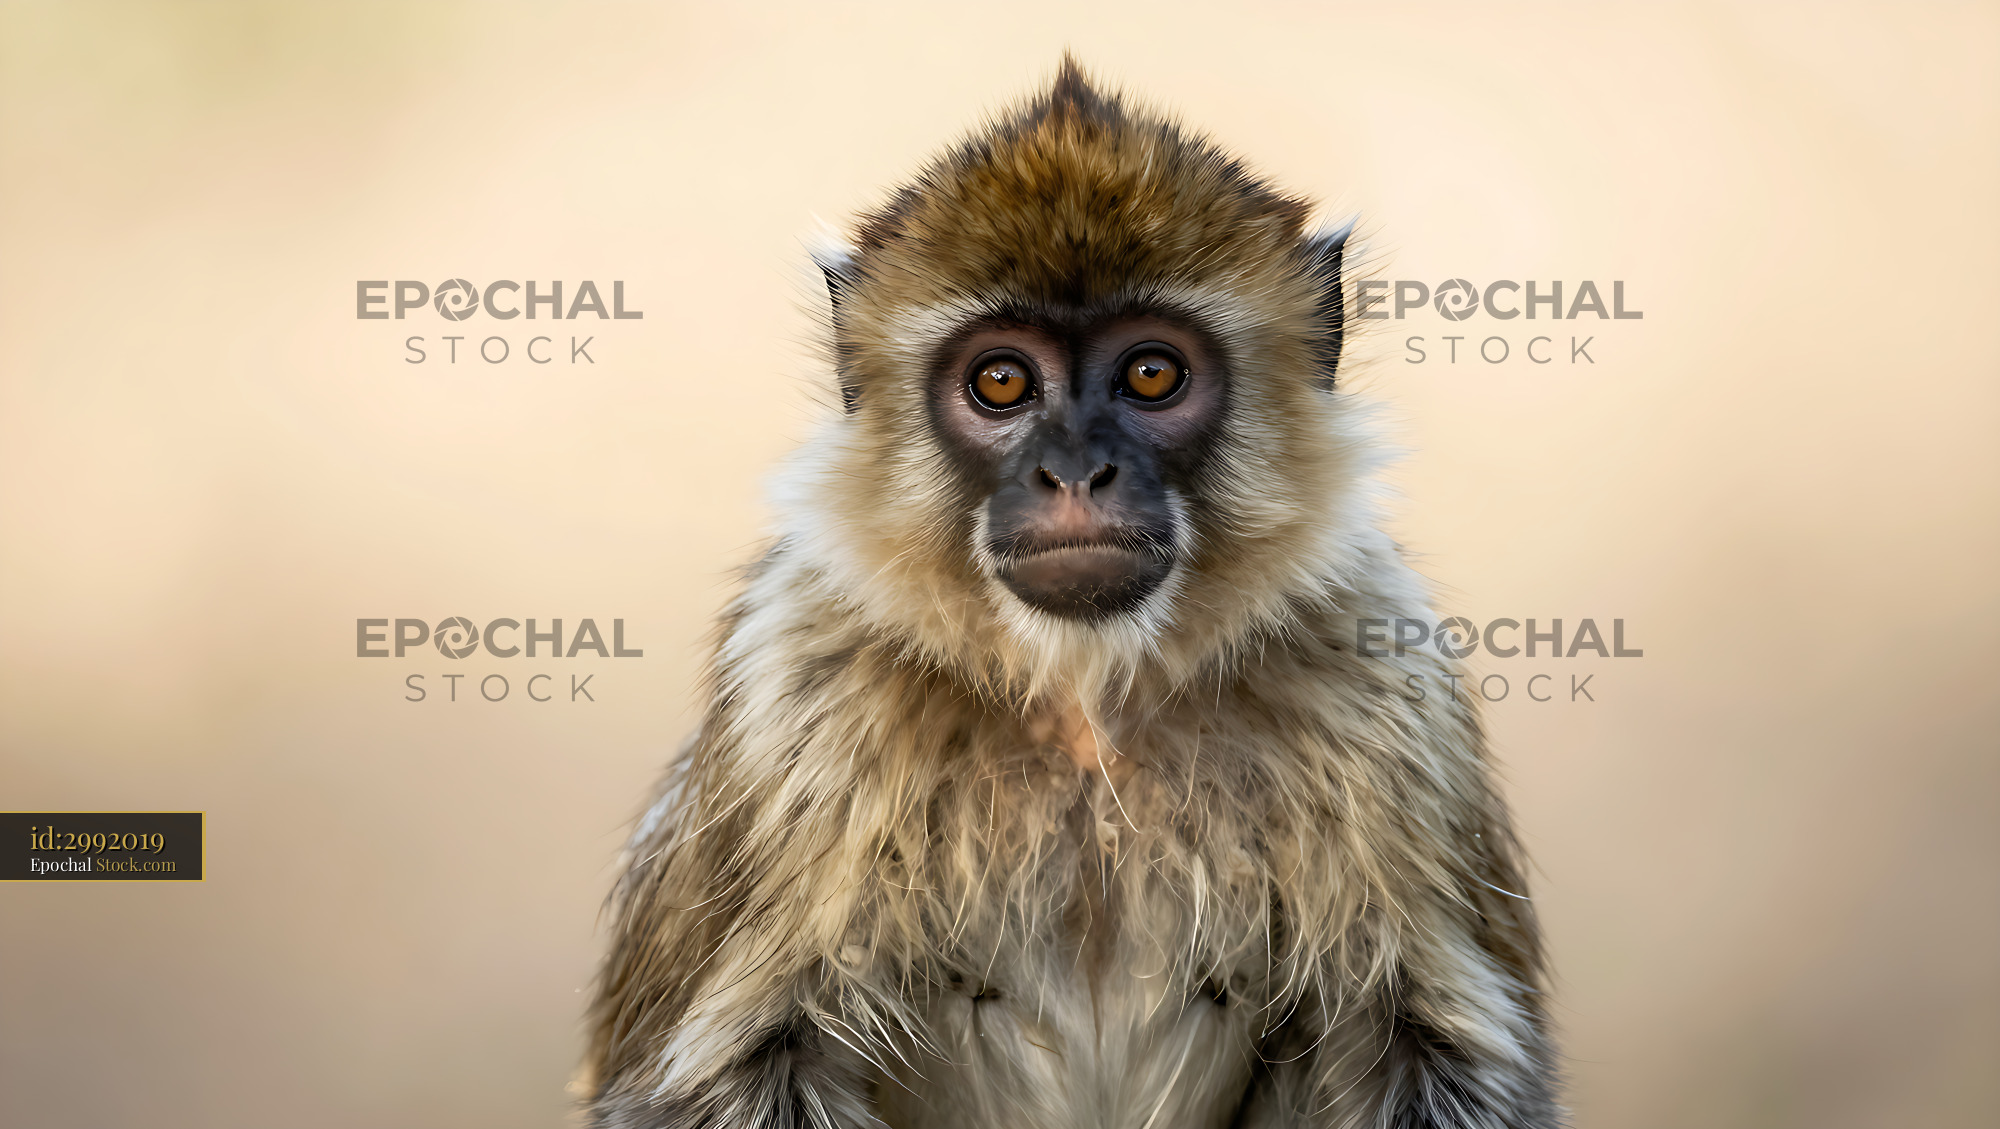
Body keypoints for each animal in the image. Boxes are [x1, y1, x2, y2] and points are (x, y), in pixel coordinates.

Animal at [583, 58, 1559, 1129]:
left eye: (1151, 372)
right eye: (1004, 382)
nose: (1078, 471)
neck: (1085, 704)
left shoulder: (1380, 661)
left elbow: (1429, 1047)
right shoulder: (793, 679)